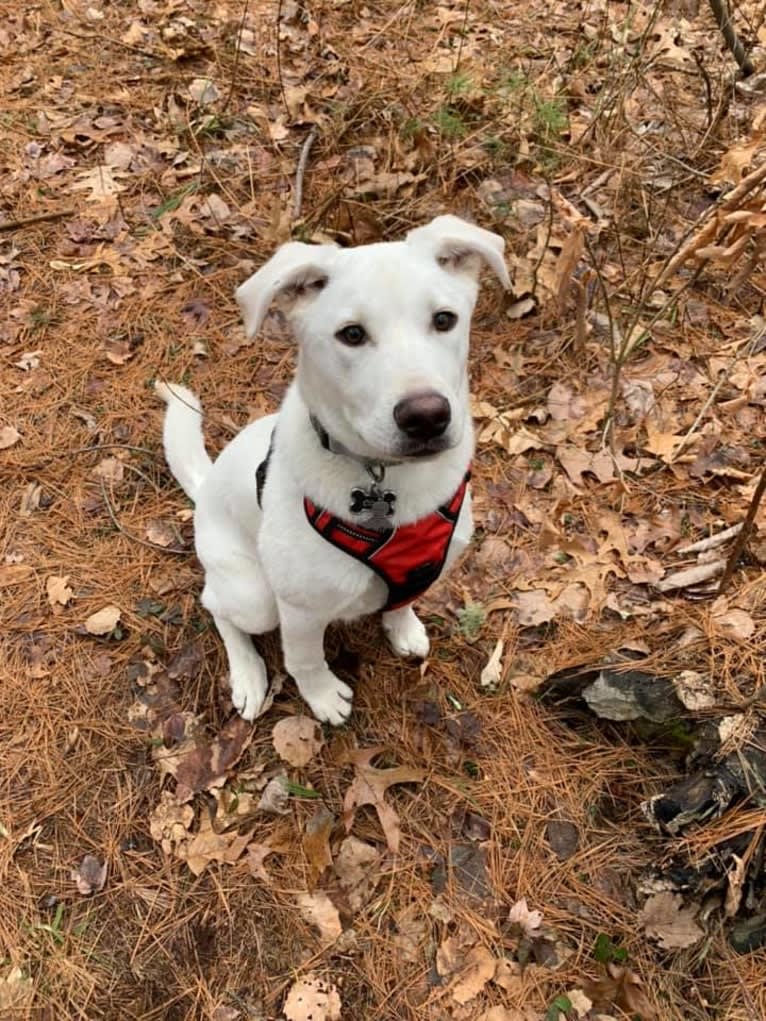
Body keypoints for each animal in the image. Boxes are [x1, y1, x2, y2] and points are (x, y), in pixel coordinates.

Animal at [156, 215, 510, 726]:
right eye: (352, 334)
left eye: (444, 320)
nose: (426, 417)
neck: (390, 480)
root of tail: (204, 491)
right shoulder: (300, 609)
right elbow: (305, 659)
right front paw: (323, 696)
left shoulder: (425, 570)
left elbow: (402, 603)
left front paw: (403, 629)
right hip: (255, 594)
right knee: (216, 606)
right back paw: (248, 674)